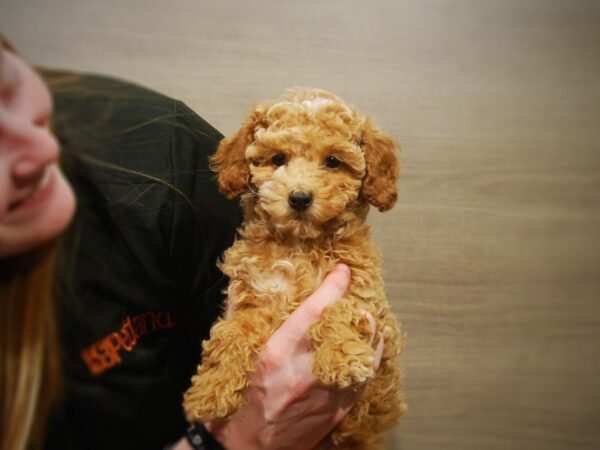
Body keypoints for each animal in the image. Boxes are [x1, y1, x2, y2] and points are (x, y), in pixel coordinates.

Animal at [185, 89, 406, 450]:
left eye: (333, 162)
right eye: (278, 159)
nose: (299, 198)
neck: (300, 245)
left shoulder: (363, 293)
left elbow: (337, 309)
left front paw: (341, 358)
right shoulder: (256, 296)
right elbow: (230, 333)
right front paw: (210, 390)